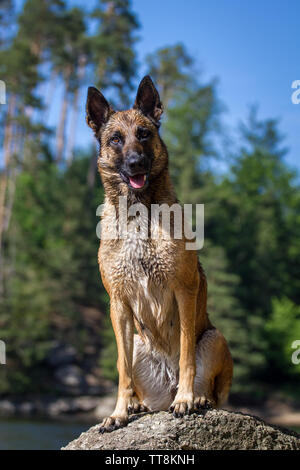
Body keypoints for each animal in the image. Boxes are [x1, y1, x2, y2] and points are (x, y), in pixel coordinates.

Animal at [85, 75, 233, 432]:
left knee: (208, 385)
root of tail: (165, 388)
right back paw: (139, 405)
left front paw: (186, 399)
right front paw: (119, 412)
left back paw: (195, 397)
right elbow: (122, 370)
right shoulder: (119, 304)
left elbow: (186, 354)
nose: (136, 163)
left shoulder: (184, 290)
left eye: (144, 134)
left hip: (215, 337)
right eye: (115, 139)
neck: (139, 215)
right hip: (139, 343)